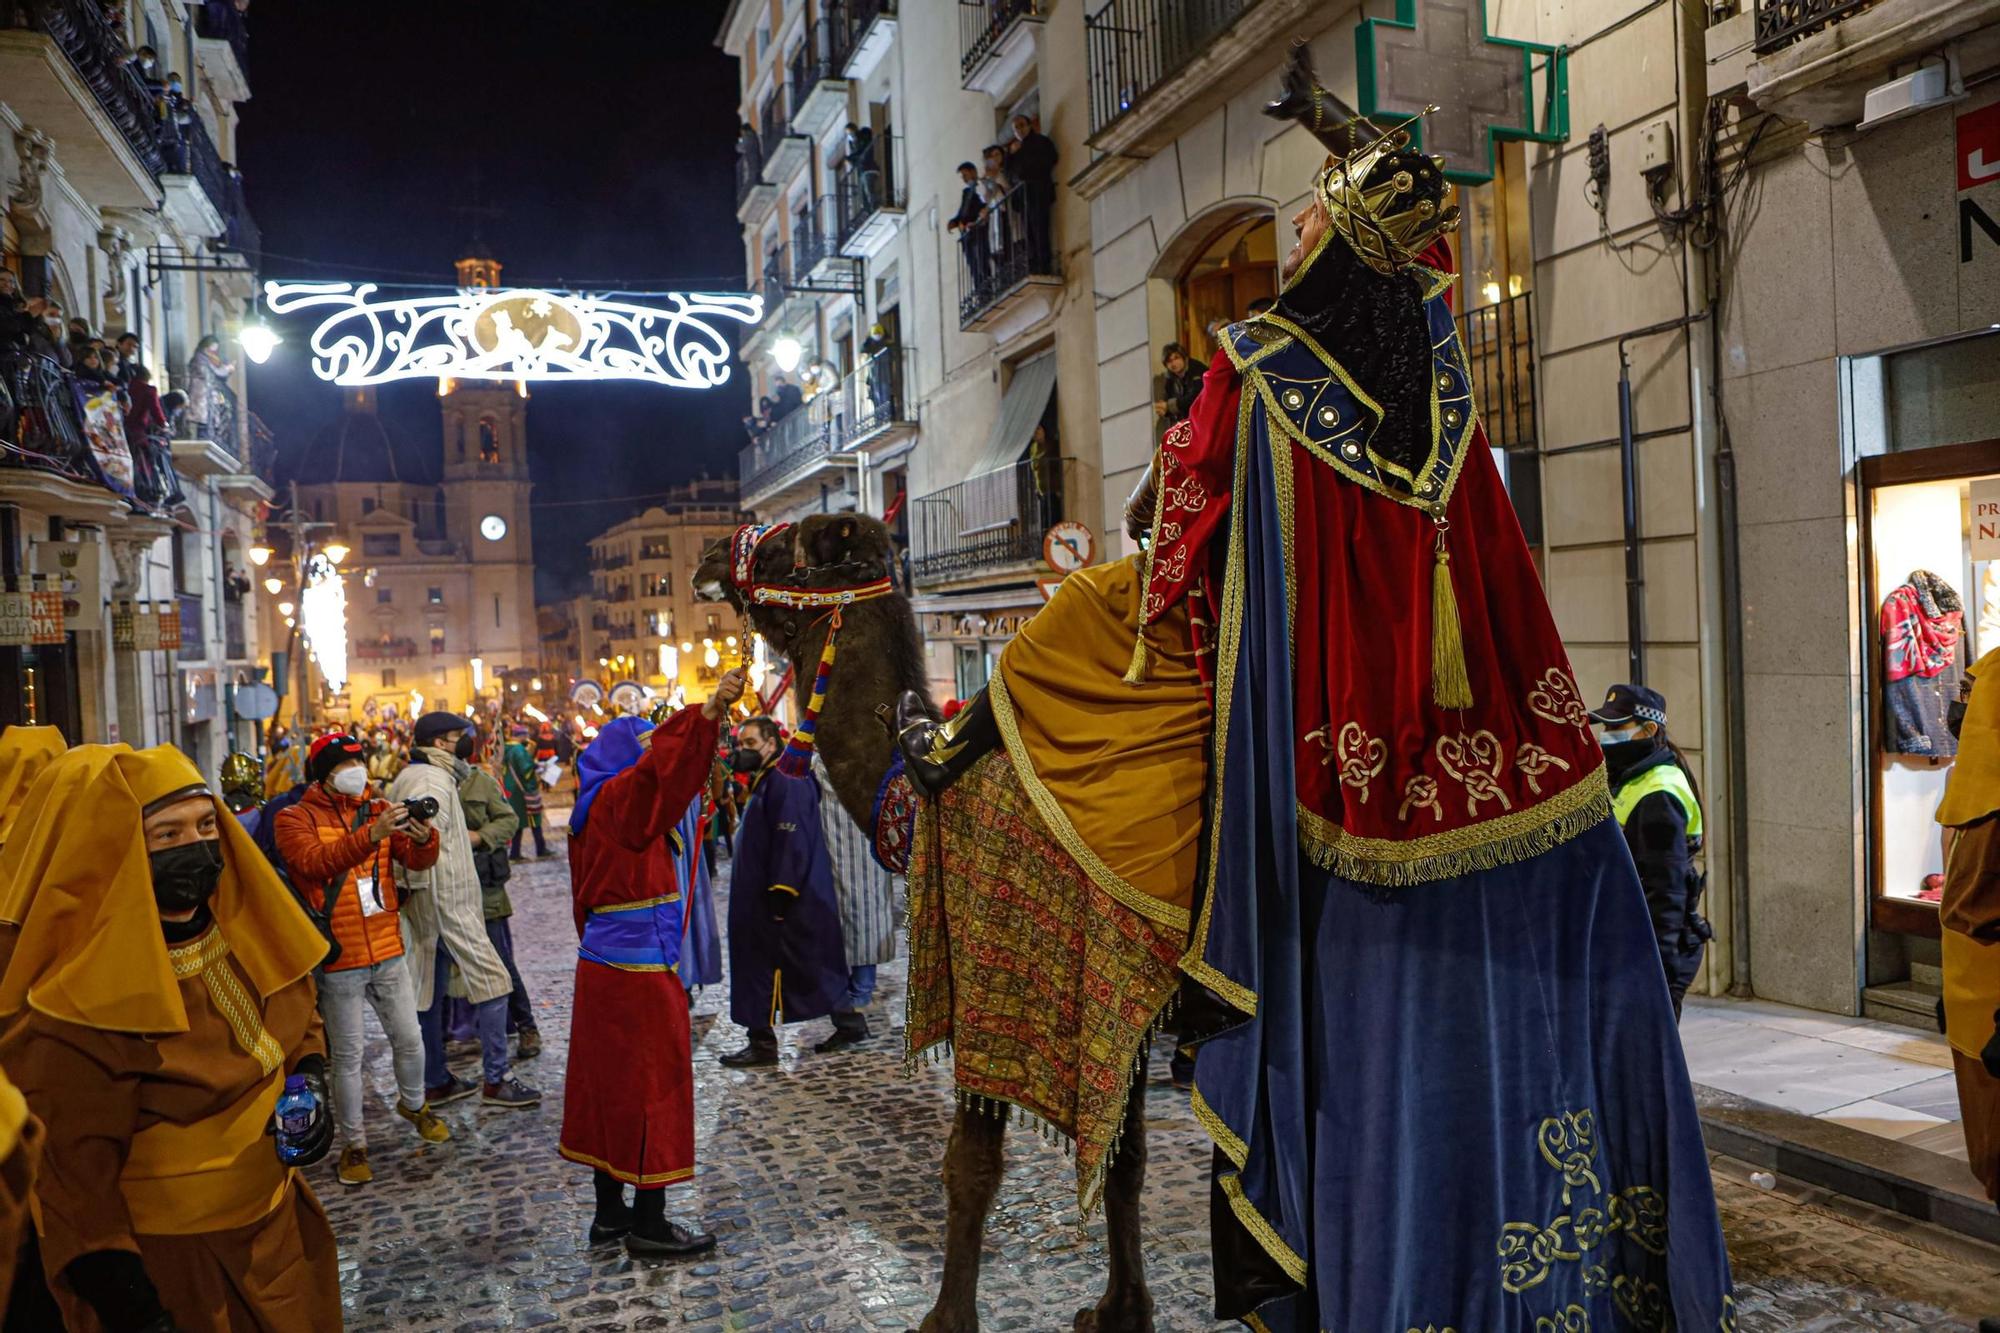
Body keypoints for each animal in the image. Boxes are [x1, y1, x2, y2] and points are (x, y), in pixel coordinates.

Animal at [696, 510, 1168, 1328]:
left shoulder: (995, 983)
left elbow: (970, 1165)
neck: (909, 803)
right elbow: (1123, 1155)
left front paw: (947, 1316)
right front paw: (1118, 1308)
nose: (708, 553)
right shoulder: (1121, 1011)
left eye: (791, 545)